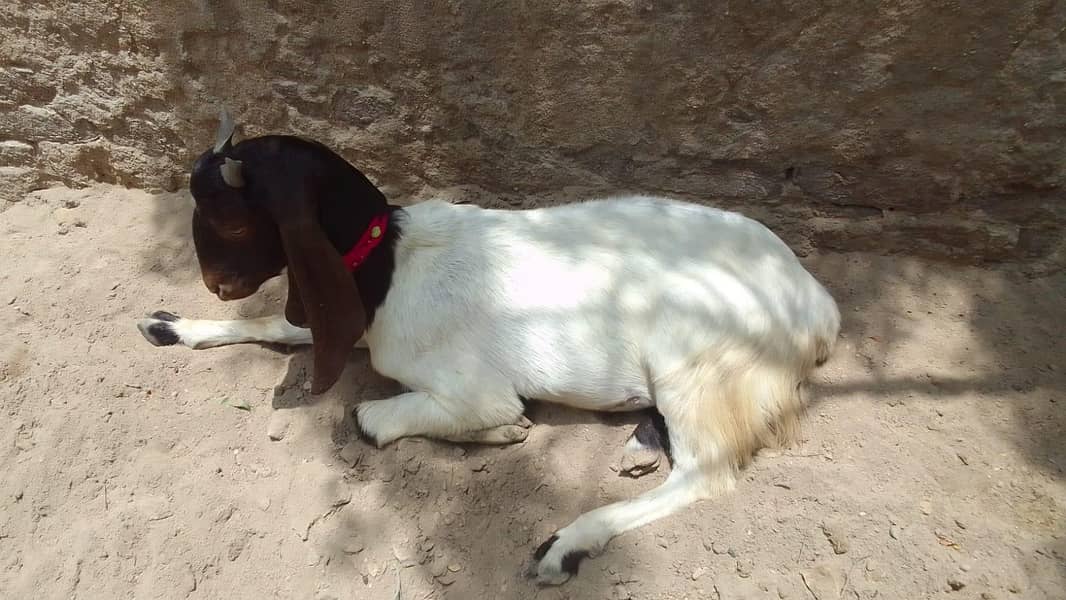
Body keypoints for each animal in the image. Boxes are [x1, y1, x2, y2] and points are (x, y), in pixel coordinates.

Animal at [137, 112, 841, 585]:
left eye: (231, 220)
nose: (216, 284)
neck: (390, 263)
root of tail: (816, 302)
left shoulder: (470, 388)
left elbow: (369, 418)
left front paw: (506, 432)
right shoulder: (349, 316)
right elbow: (287, 327)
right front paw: (174, 325)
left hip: (691, 354)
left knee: (705, 472)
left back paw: (568, 542)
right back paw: (641, 444)